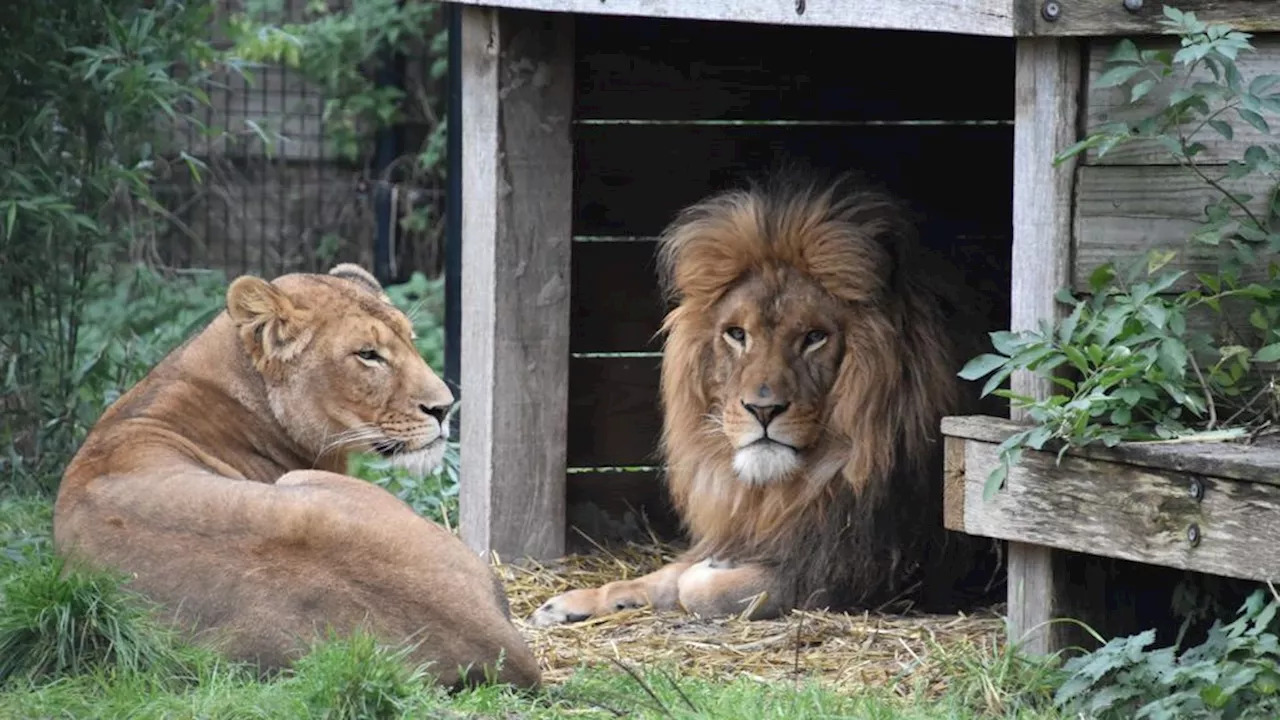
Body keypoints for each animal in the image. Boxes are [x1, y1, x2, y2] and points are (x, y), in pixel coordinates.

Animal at [529, 170, 998, 625]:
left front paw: (709, 572)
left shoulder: (858, 573)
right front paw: (575, 601)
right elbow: (664, 575)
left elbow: (699, 588)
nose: (763, 409)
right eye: (737, 334)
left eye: (814, 337)